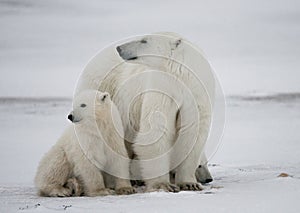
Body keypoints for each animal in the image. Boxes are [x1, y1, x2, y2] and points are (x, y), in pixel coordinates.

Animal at [75, 32, 216, 192]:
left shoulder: (196, 94)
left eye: (144, 41)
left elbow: (192, 134)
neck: (181, 78)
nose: (119, 48)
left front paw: (189, 183)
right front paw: (163, 184)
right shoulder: (162, 88)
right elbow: (156, 130)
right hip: (101, 88)